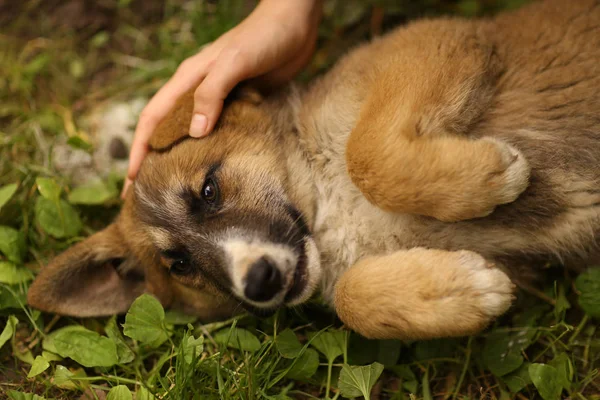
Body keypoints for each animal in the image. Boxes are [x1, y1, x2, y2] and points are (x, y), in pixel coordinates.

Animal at [27, 0, 600, 340]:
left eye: (208, 190)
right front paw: (455, 292)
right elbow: (350, 299)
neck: (324, 208)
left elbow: (367, 154)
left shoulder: (431, 42)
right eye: (180, 265)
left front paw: (492, 176)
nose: (259, 281)